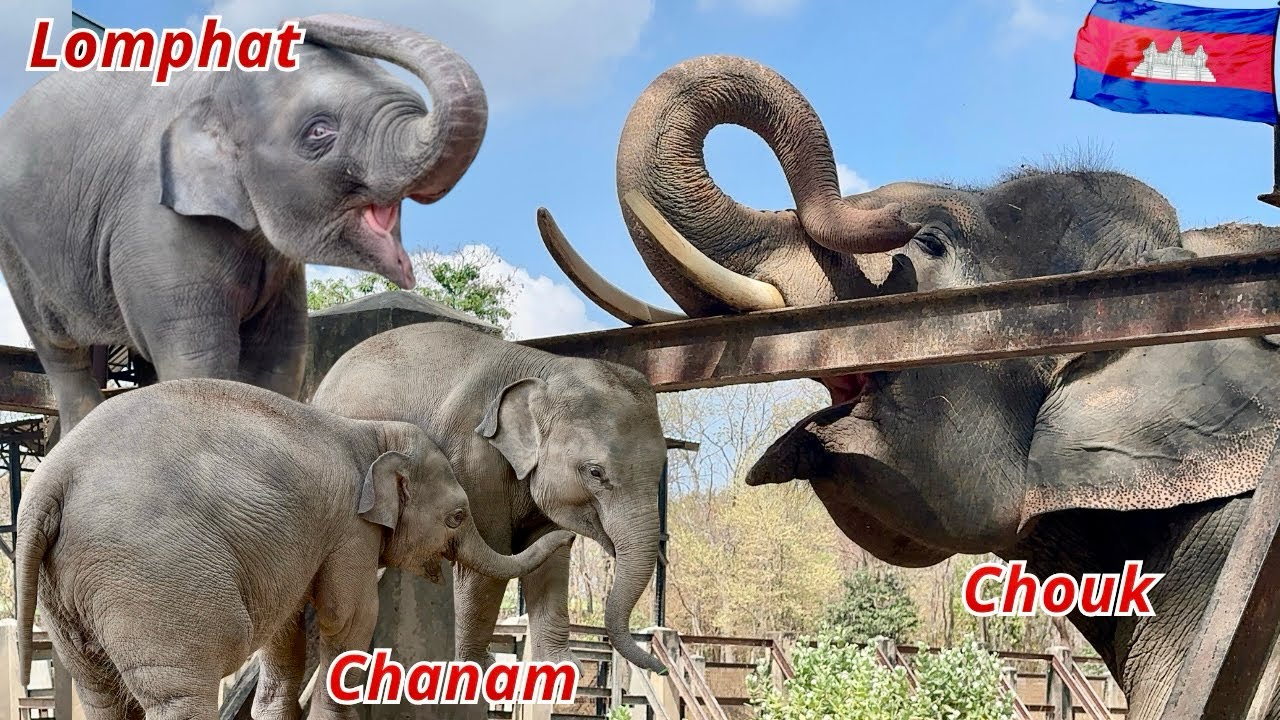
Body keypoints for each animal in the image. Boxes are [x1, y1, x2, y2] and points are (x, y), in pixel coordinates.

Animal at [0, 13, 487, 433]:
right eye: (319, 132)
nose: (296, 22)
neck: (211, 90)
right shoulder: (155, 229)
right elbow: (200, 360)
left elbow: (279, 362)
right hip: (16, 254)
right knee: (61, 356)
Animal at [13, 378, 573, 720]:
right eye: (457, 515)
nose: (567, 532)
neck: (371, 433)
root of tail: (51, 481)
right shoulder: (350, 529)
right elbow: (349, 617)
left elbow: (284, 630)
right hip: (150, 576)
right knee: (182, 688)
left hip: (66, 590)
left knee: (99, 690)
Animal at [308, 320, 668, 674]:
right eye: (595, 472)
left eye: (661, 468)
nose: (661, 670)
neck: (549, 368)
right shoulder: (473, 460)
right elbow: (487, 563)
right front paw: (477, 669)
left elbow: (551, 562)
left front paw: (561, 668)